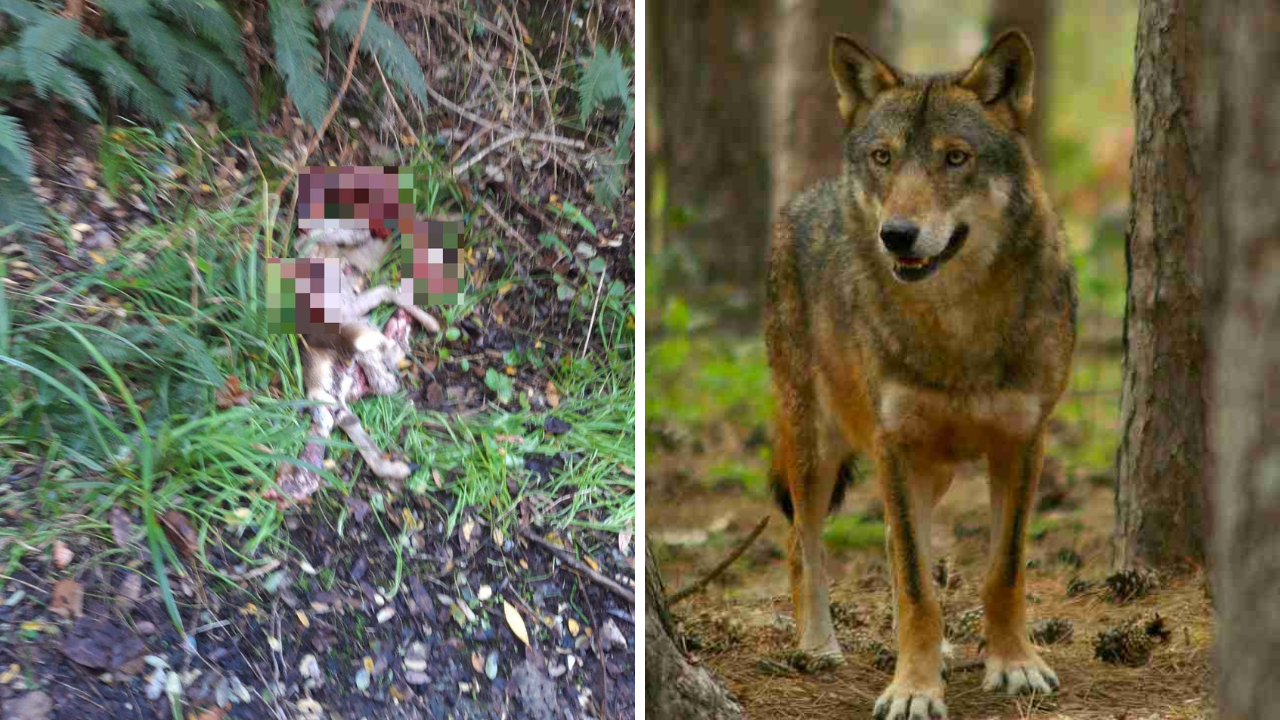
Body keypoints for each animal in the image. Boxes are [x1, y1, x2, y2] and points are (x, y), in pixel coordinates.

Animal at [765, 30, 1077, 720]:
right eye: (883, 158)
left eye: (955, 158)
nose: (897, 235)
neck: (955, 328)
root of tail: (802, 200)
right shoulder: (895, 444)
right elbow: (915, 586)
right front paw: (913, 689)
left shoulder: (1023, 440)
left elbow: (1002, 571)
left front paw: (1014, 664)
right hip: (817, 448)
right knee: (803, 544)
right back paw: (819, 647)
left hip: (927, 471)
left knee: (883, 537)